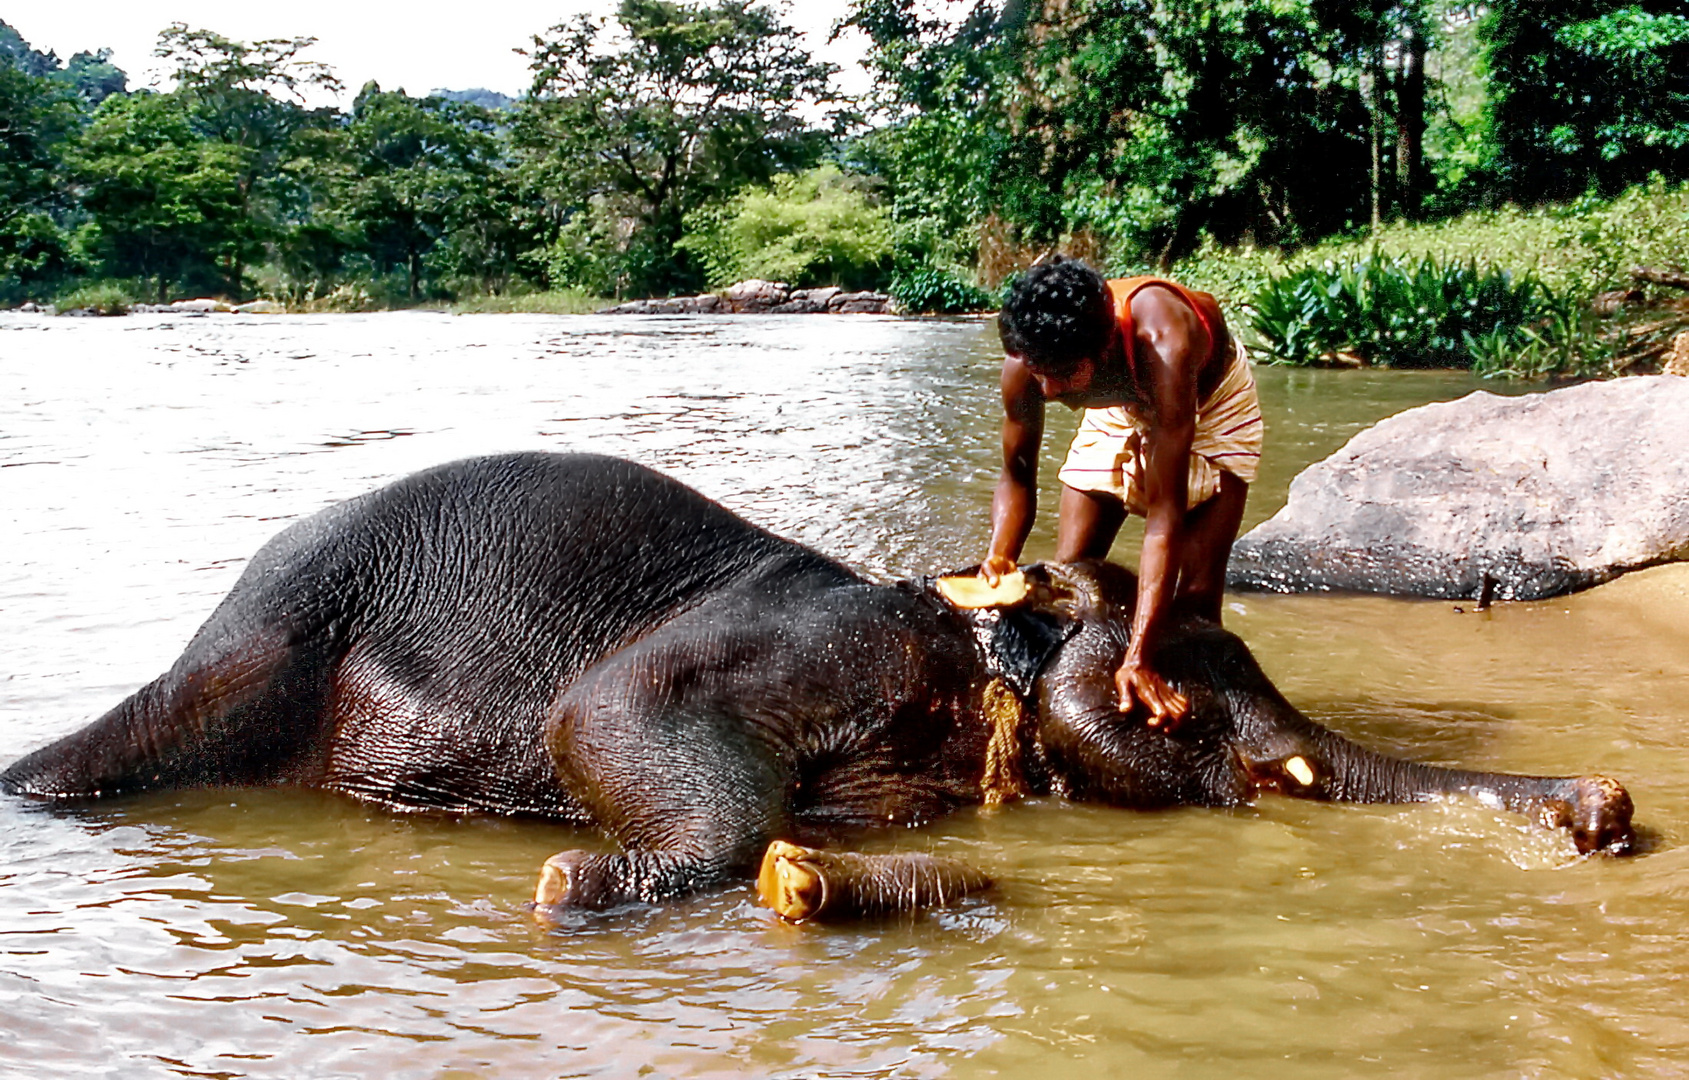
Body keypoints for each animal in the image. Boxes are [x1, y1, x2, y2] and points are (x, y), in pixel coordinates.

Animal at [3, 452, 1634, 919]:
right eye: (1183, 681)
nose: (1609, 804)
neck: (970, 624)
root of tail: (209, 630)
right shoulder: (817, 643)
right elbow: (603, 713)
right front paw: (582, 884)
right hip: (262, 660)